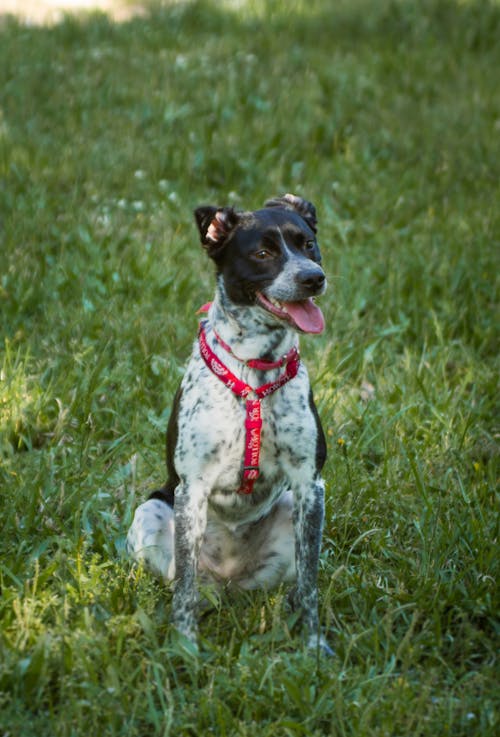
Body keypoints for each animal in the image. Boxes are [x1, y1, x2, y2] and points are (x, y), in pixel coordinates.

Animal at [125, 194, 330, 648]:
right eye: (263, 254)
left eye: (307, 244)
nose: (314, 278)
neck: (257, 368)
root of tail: (228, 583)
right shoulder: (192, 490)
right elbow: (183, 587)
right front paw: (184, 646)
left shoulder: (309, 486)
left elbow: (310, 586)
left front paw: (313, 644)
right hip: (151, 511)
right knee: (178, 580)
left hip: (290, 510)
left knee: (289, 586)